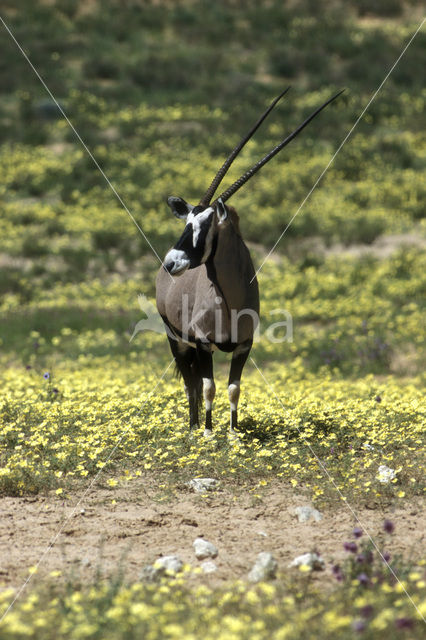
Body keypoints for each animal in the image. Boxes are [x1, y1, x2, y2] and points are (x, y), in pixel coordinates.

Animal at [156, 89, 342, 436]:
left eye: (205, 224)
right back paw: (193, 427)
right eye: (186, 222)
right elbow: (208, 387)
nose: (171, 262)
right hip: (176, 339)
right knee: (189, 384)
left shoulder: (244, 345)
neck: (229, 298)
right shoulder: (203, 344)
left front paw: (233, 434)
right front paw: (208, 433)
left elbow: (233, 388)